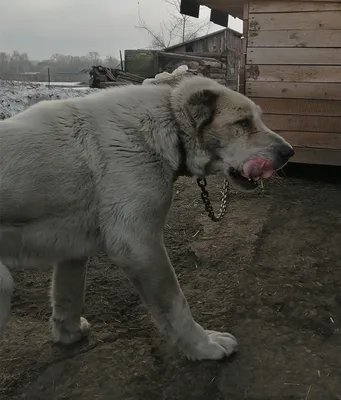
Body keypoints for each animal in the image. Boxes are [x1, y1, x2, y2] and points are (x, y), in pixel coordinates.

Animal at [0, 76, 292, 360]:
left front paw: (69, 335)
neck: (168, 123)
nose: (289, 152)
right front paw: (204, 346)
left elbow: (68, 295)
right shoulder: (138, 246)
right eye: (243, 123)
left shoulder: (72, 247)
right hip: (4, 283)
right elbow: (176, 305)